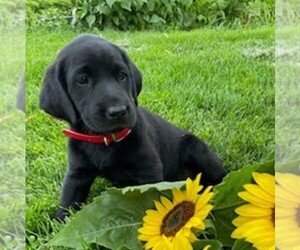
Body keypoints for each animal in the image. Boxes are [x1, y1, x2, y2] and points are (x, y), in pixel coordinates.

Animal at [39, 34, 227, 220]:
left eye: (122, 75)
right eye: (83, 80)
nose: (118, 112)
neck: (105, 140)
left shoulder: (148, 169)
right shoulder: (77, 173)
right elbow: (67, 202)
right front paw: (58, 224)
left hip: (193, 145)